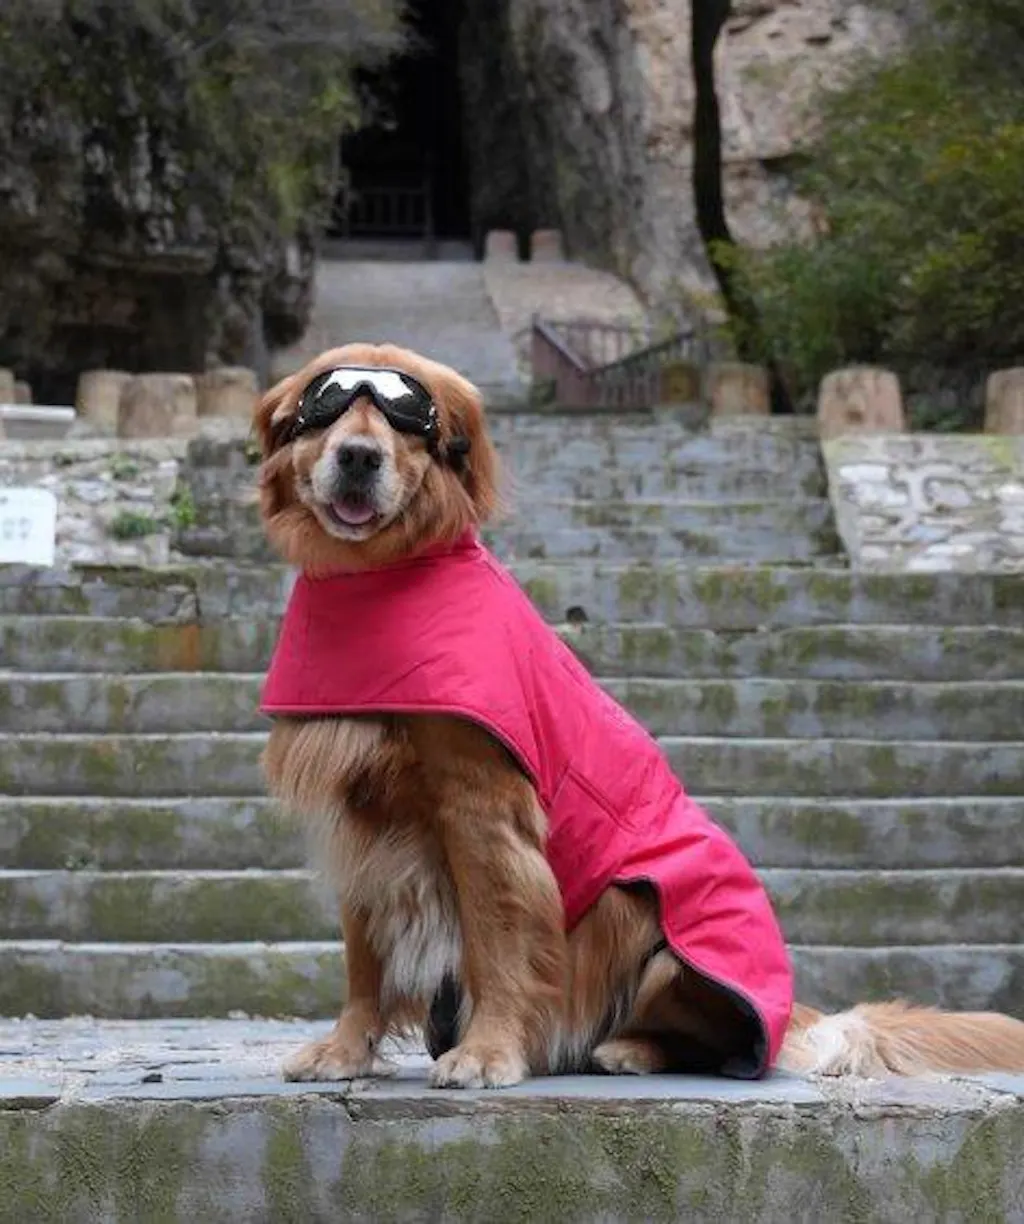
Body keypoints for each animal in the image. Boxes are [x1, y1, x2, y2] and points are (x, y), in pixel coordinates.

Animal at [254, 342, 1024, 1086]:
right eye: (325, 406)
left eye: (408, 415)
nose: (358, 457)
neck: (382, 579)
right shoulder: (357, 809)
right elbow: (364, 957)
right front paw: (345, 1049)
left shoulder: (481, 807)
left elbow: (498, 940)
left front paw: (487, 1053)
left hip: (649, 922)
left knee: (713, 1045)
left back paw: (627, 1049)